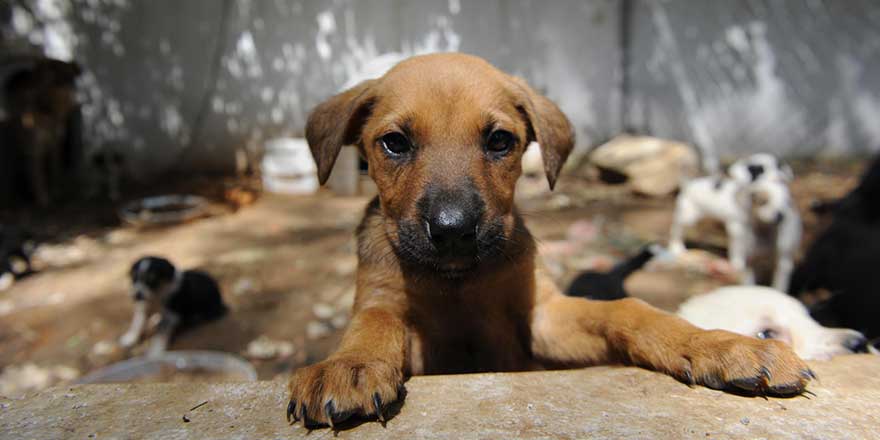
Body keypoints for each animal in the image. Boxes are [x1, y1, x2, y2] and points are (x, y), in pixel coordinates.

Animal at [672, 153, 800, 290]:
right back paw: (676, 247)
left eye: (779, 167)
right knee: (676, 230)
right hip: (688, 215)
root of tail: (689, 184)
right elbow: (738, 249)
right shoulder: (736, 227)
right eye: (760, 170)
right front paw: (737, 264)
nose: (781, 177)